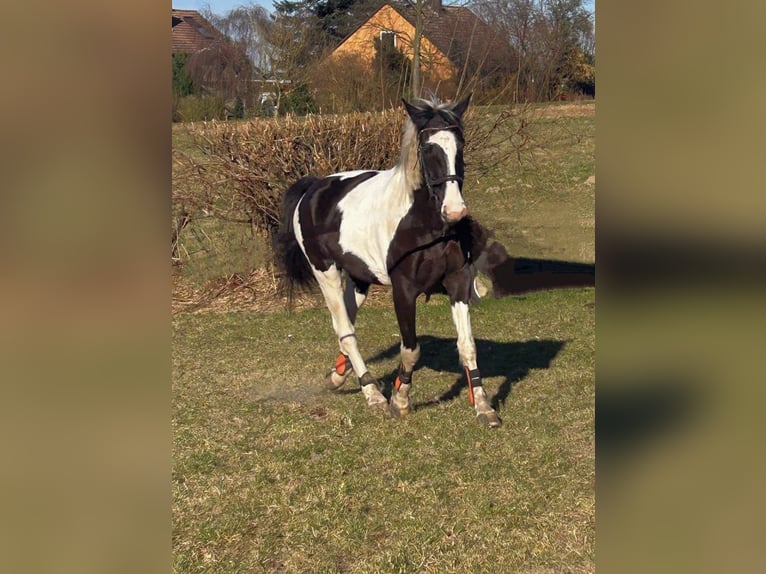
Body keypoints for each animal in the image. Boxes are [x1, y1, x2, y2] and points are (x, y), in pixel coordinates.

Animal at [274, 96, 595, 428]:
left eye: (460, 146)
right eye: (428, 149)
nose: (455, 211)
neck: (423, 224)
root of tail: (314, 187)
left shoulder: (458, 284)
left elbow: (467, 347)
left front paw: (483, 406)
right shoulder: (403, 291)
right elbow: (411, 350)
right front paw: (399, 400)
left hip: (361, 279)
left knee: (347, 323)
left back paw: (339, 376)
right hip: (326, 273)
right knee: (345, 331)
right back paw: (372, 393)